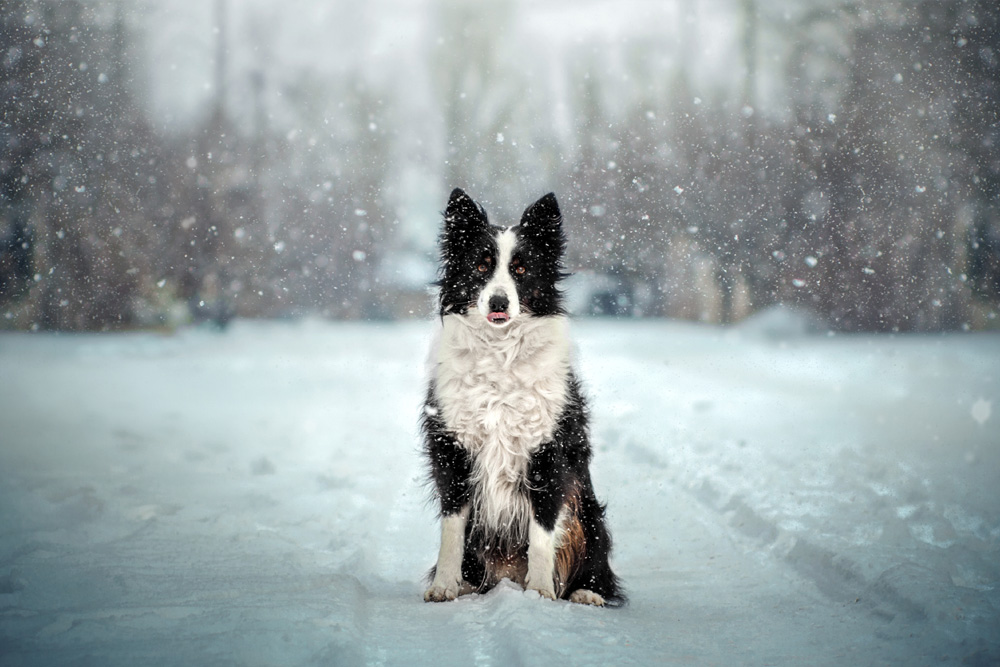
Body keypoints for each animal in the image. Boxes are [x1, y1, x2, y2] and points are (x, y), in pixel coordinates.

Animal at [422, 189, 624, 612]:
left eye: (520, 269)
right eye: (481, 265)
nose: (499, 302)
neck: (499, 353)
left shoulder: (548, 452)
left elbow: (542, 533)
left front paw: (541, 591)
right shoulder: (453, 447)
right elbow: (452, 528)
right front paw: (444, 586)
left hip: (589, 513)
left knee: (595, 561)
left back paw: (585, 592)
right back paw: (468, 584)